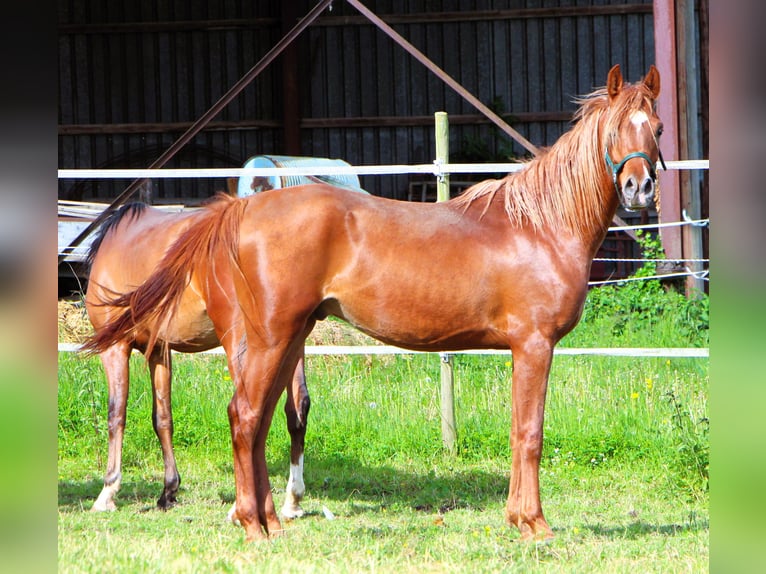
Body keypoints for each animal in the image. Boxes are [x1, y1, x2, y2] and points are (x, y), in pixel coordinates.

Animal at [84, 202, 310, 520]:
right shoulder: (160, 351)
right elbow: (162, 418)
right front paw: (169, 490)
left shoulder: (115, 348)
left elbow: (116, 415)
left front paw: (108, 492)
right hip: (289, 346)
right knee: (297, 409)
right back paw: (293, 499)